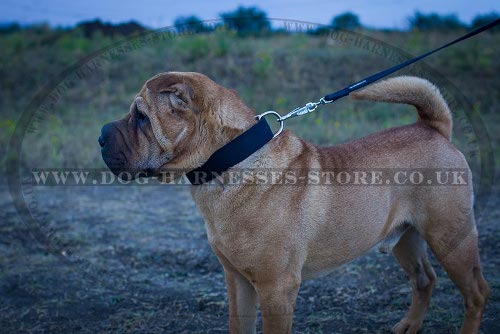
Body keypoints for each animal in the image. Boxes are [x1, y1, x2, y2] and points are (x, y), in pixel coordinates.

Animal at [99, 73, 490, 334]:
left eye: (141, 117)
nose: (101, 135)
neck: (232, 162)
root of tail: (433, 128)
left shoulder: (277, 288)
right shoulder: (237, 280)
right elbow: (238, 326)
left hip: (451, 238)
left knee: (476, 293)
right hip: (406, 239)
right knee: (424, 280)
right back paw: (408, 325)